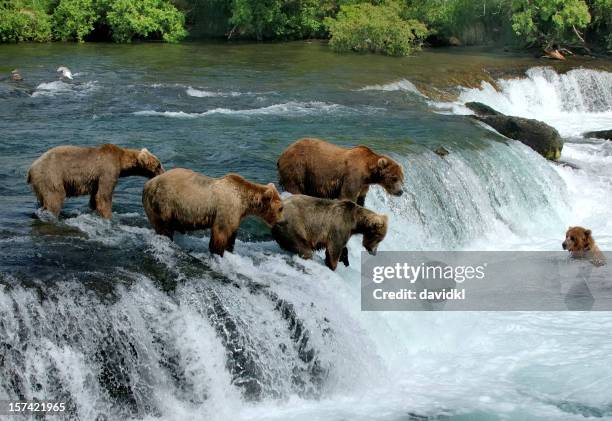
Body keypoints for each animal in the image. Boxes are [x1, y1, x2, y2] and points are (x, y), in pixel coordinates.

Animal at [27, 144, 164, 218]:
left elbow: (94, 197)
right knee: (54, 198)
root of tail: (31, 168)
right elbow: (104, 196)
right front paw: (109, 216)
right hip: (50, 175)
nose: (163, 172)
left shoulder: (95, 180)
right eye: (158, 165)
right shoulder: (107, 170)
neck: (121, 161)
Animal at [142, 168, 284, 256]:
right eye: (281, 208)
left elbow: (232, 233)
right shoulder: (226, 209)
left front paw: (229, 249)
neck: (243, 201)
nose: (281, 222)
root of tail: (148, 184)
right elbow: (220, 233)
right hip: (163, 202)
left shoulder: (236, 214)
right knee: (163, 227)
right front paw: (218, 252)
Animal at [278, 139, 406, 206]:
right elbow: (347, 195)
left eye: (402, 179)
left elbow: (361, 199)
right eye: (394, 178)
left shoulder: (364, 185)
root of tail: (283, 153)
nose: (400, 192)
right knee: (294, 186)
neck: (368, 174)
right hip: (298, 167)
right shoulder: (353, 176)